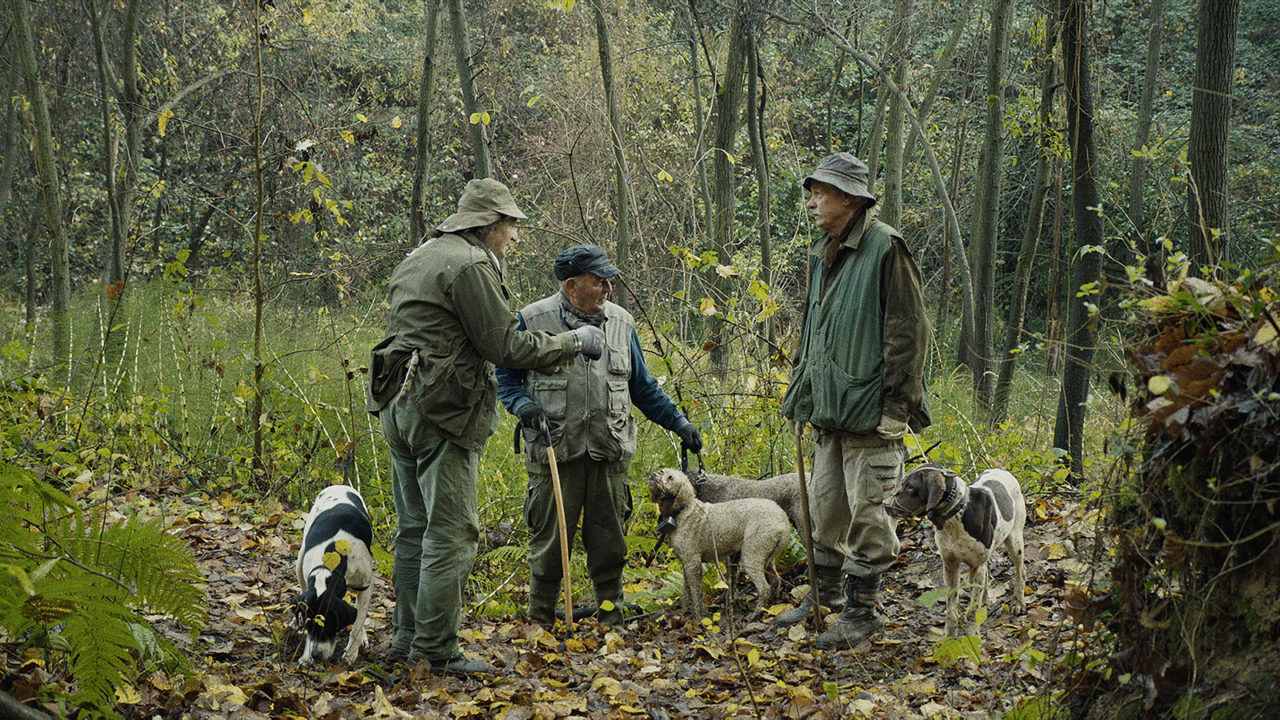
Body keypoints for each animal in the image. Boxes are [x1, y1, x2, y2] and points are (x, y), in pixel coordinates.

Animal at [296, 481, 376, 661]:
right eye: (309, 624)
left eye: (330, 624)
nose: (316, 655)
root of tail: (340, 485)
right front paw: (305, 655)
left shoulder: (365, 587)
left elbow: (357, 624)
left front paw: (351, 653)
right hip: (299, 560)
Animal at [650, 466, 788, 617]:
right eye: (662, 471)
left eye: (671, 478)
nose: (654, 475)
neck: (681, 511)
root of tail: (782, 519)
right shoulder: (685, 563)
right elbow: (686, 593)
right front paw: (683, 613)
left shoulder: (693, 564)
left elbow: (696, 595)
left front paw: (699, 617)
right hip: (768, 557)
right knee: (776, 580)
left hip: (752, 555)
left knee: (764, 588)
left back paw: (754, 615)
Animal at [890, 458, 1029, 632]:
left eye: (910, 487)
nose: (887, 503)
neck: (955, 516)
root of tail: (1002, 470)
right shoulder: (950, 565)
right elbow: (951, 606)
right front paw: (949, 633)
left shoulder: (976, 566)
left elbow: (973, 607)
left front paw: (972, 629)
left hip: (1015, 541)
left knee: (1020, 573)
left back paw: (1019, 603)